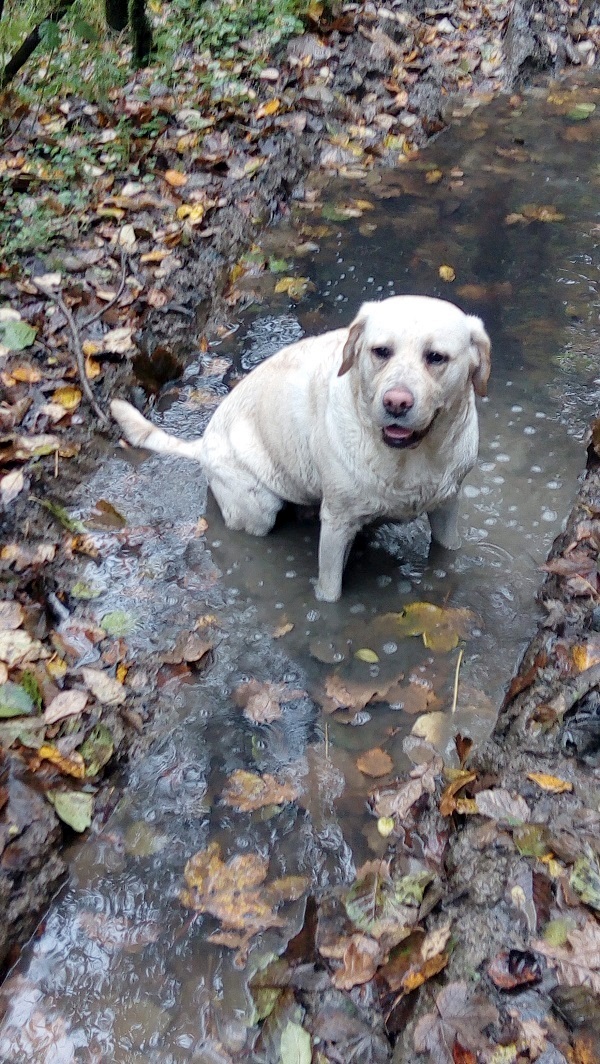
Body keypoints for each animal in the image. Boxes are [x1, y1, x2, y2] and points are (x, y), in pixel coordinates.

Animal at [110, 295, 489, 604]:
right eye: (381, 351)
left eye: (436, 357)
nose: (396, 402)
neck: (410, 458)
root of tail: (203, 442)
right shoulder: (337, 524)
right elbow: (330, 592)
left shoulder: (447, 505)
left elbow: (449, 550)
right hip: (257, 508)